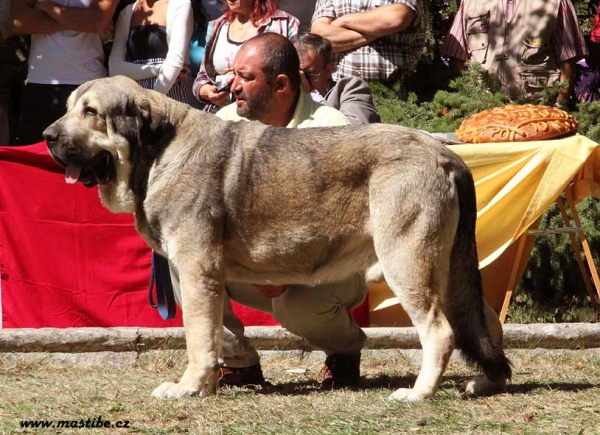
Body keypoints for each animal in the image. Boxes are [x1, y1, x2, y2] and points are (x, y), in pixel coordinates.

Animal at [43, 76, 510, 404]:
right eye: (67, 109)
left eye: (90, 112)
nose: (48, 137)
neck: (159, 150)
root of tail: (445, 153)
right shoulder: (196, 274)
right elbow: (214, 332)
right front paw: (210, 385)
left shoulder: (195, 271)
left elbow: (197, 337)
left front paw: (188, 387)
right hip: (449, 268)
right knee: (483, 320)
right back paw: (488, 380)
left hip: (407, 262)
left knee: (440, 332)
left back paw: (419, 393)